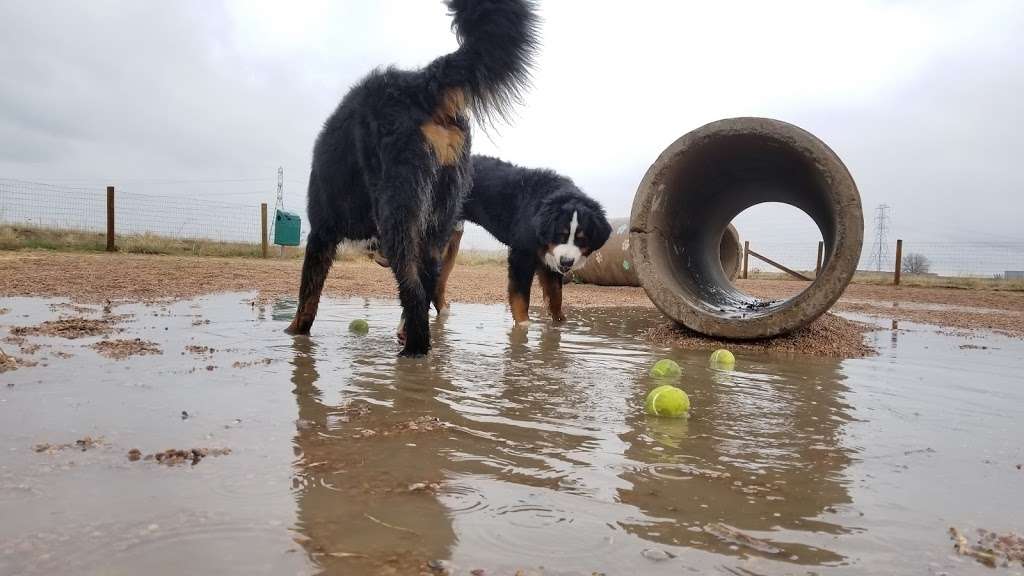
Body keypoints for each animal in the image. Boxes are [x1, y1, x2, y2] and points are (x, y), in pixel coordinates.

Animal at [284, 0, 540, 354]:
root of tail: (420, 82)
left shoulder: (322, 234)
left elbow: (307, 298)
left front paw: (295, 333)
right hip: (438, 221)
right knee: (427, 285)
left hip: (400, 215)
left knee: (415, 294)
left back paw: (413, 351)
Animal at [436, 154, 610, 325]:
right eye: (560, 234)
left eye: (582, 239)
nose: (566, 262)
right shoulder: (522, 255)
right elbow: (521, 299)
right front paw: (523, 328)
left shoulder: (549, 259)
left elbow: (556, 297)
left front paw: (559, 325)